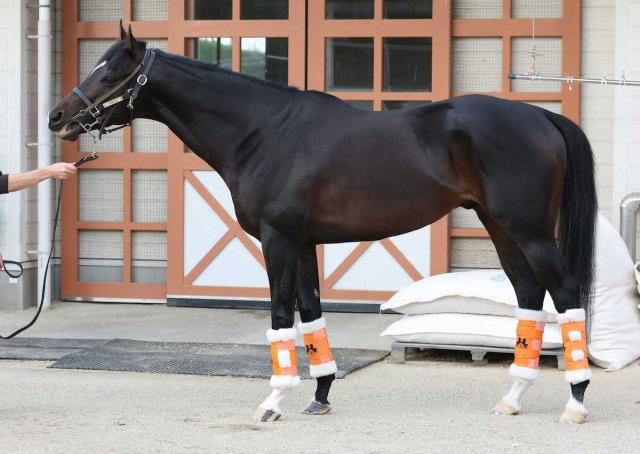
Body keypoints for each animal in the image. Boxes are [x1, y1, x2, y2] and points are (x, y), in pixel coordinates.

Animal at [49, 23, 597, 424]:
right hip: (500, 227)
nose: (57, 117)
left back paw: (575, 401)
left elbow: (279, 316)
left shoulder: (277, 240)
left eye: (110, 74)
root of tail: (542, 117)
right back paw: (514, 397)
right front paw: (320, 395)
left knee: (566, 293)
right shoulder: (304, 242)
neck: (263, 131)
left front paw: (272, 402)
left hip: (528, 230)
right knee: (529, 293)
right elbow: (310, 314)